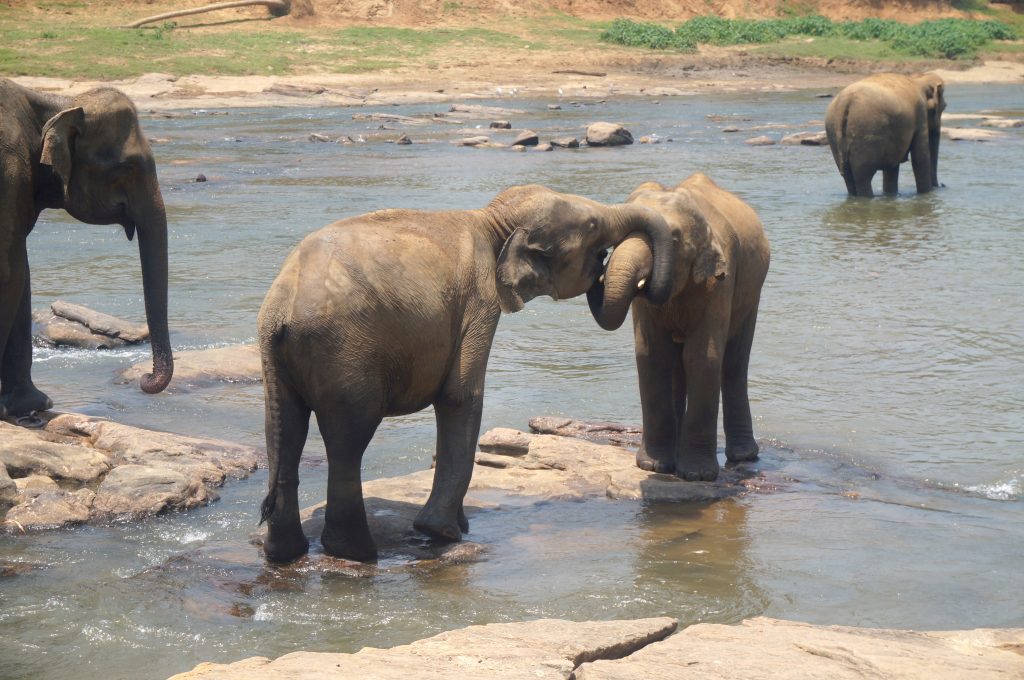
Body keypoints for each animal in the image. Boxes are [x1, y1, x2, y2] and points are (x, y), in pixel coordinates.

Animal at [0, 80, 173, 419]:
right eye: (128, 166)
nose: (145, 379)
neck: (59, 104)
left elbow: (21, 274)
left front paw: (33, 406)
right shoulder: (9, 175)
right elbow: (10, 273)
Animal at [256, 182, 679, 561]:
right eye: (592, 226)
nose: (605, 267)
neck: (492, 221)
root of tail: (283, 305)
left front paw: (457, 526)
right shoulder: (479, 301)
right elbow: (460, 396)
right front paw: (443, 532)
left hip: (277, 358)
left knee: (285, 430)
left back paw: (285, 553)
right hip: (345, 350)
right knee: (349, 438)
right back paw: (356, 553)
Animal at [495, 175, 770, 483]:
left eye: (675, 240)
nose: (600, 260)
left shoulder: (719, 283)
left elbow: (703, 356)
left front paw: (696, 475)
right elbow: (651, 355)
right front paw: (653, 467)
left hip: (751, 291)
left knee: (734, 361)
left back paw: (743, 456)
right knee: (677, 364)